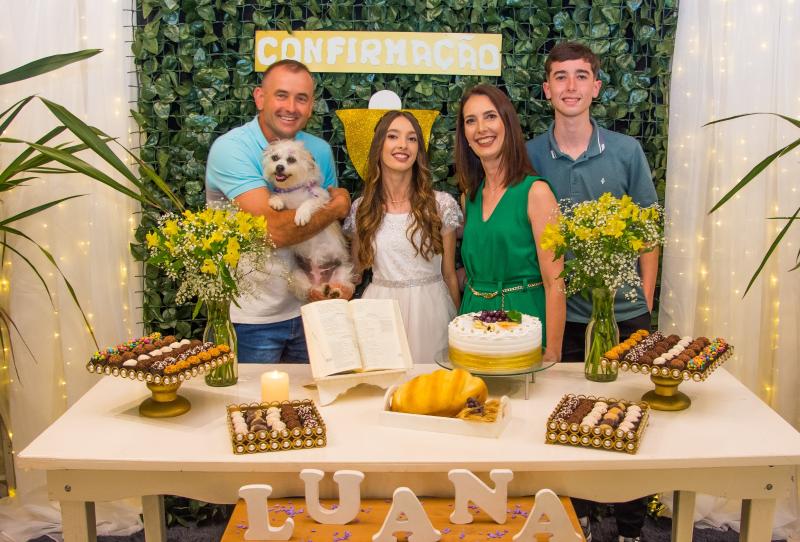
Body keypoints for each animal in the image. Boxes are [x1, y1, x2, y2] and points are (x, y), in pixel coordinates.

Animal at [262, 140, 354, 302]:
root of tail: (319, 281)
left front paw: (301, 215)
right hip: (298, 276)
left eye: (291, 160)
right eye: (275, 158)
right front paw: (276, 201)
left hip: (341, 272)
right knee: (310, 289)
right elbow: (277, 195)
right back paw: (324, 290)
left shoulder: (321, 199)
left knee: (339, 287)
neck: (293, 190)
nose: (279, 167)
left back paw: (334, 292)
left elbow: (308, 202)